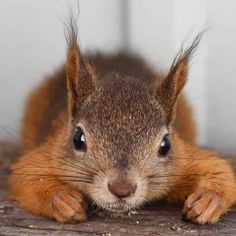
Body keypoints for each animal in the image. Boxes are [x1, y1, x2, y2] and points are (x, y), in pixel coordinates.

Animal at [8, 15, 236, 224]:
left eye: (166, 145)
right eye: (77, 139)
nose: (122, 189)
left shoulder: (184, 159)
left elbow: (220, 171)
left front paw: (207, 200)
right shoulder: (50, 152)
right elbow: (27, 175)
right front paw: (63, 200)